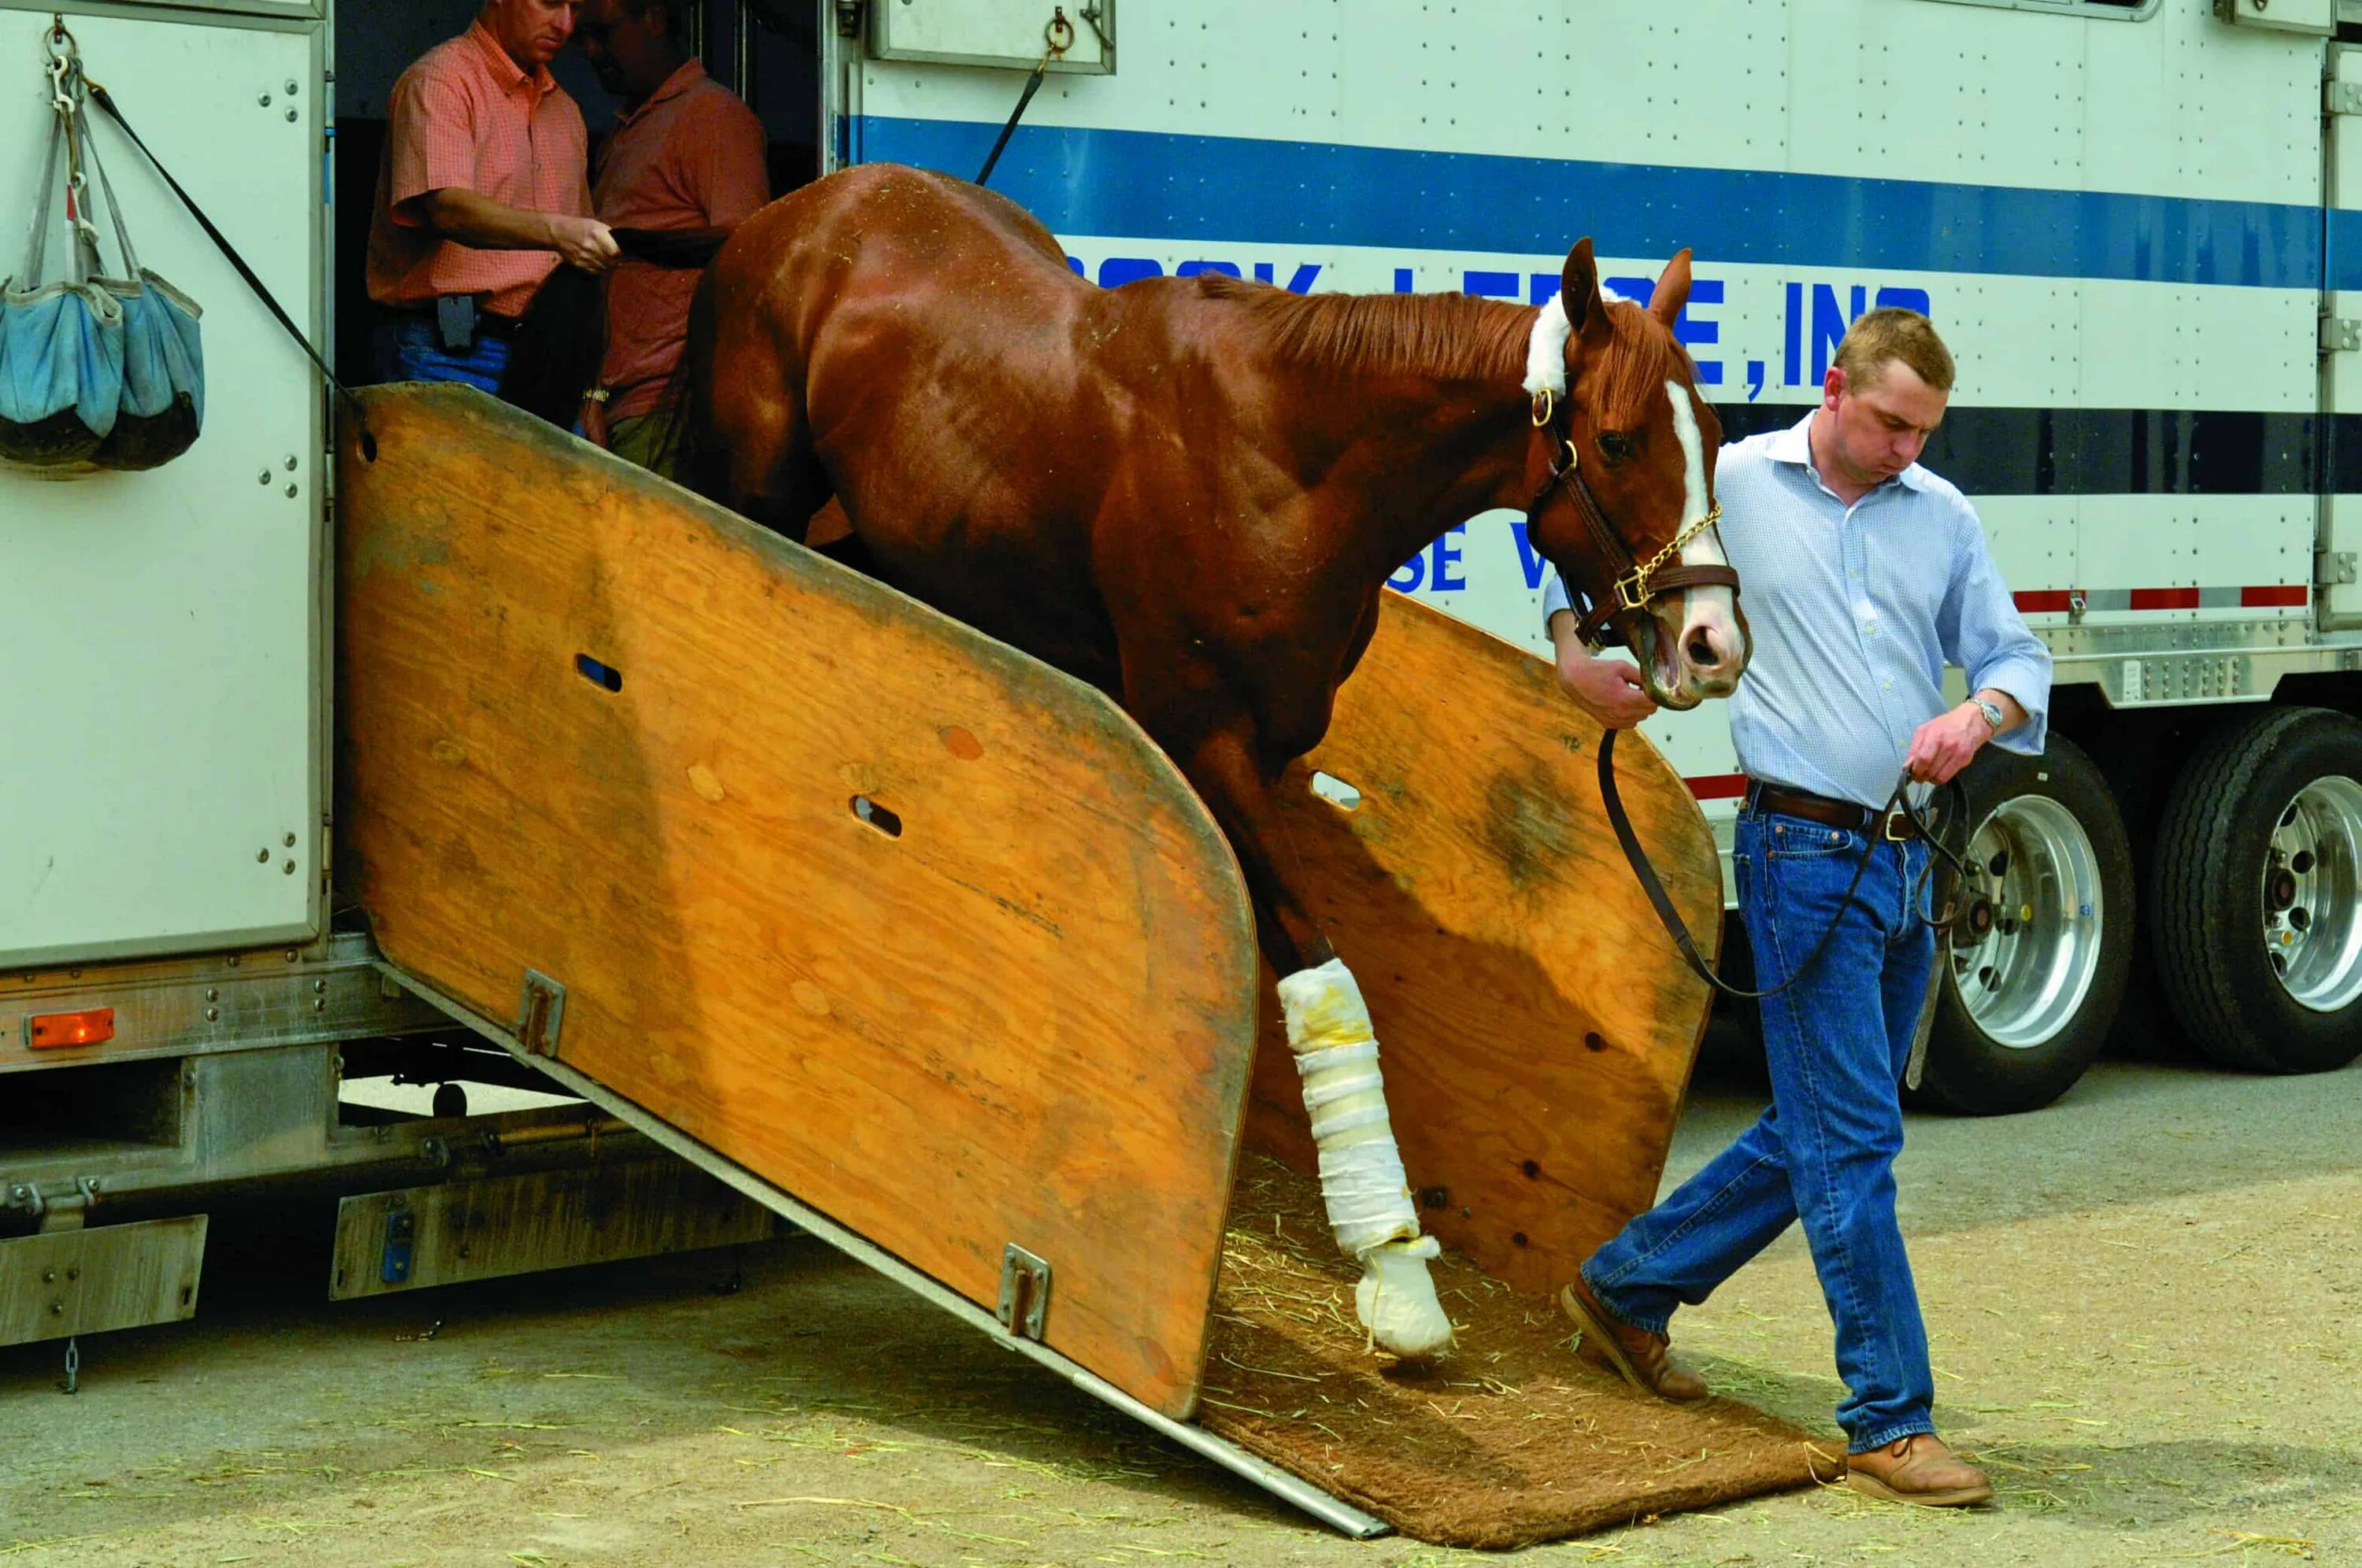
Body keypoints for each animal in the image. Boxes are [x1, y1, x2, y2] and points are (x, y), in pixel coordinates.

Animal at [676, 165, 1748, 1351]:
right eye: (1617, 442)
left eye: (1714, 433)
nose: (1712, 642)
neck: (1282, 458)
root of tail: (810, 208)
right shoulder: (1205, 737)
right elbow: (1325, 982)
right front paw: (1396, 1275)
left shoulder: (1270, 750)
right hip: (754, 488)